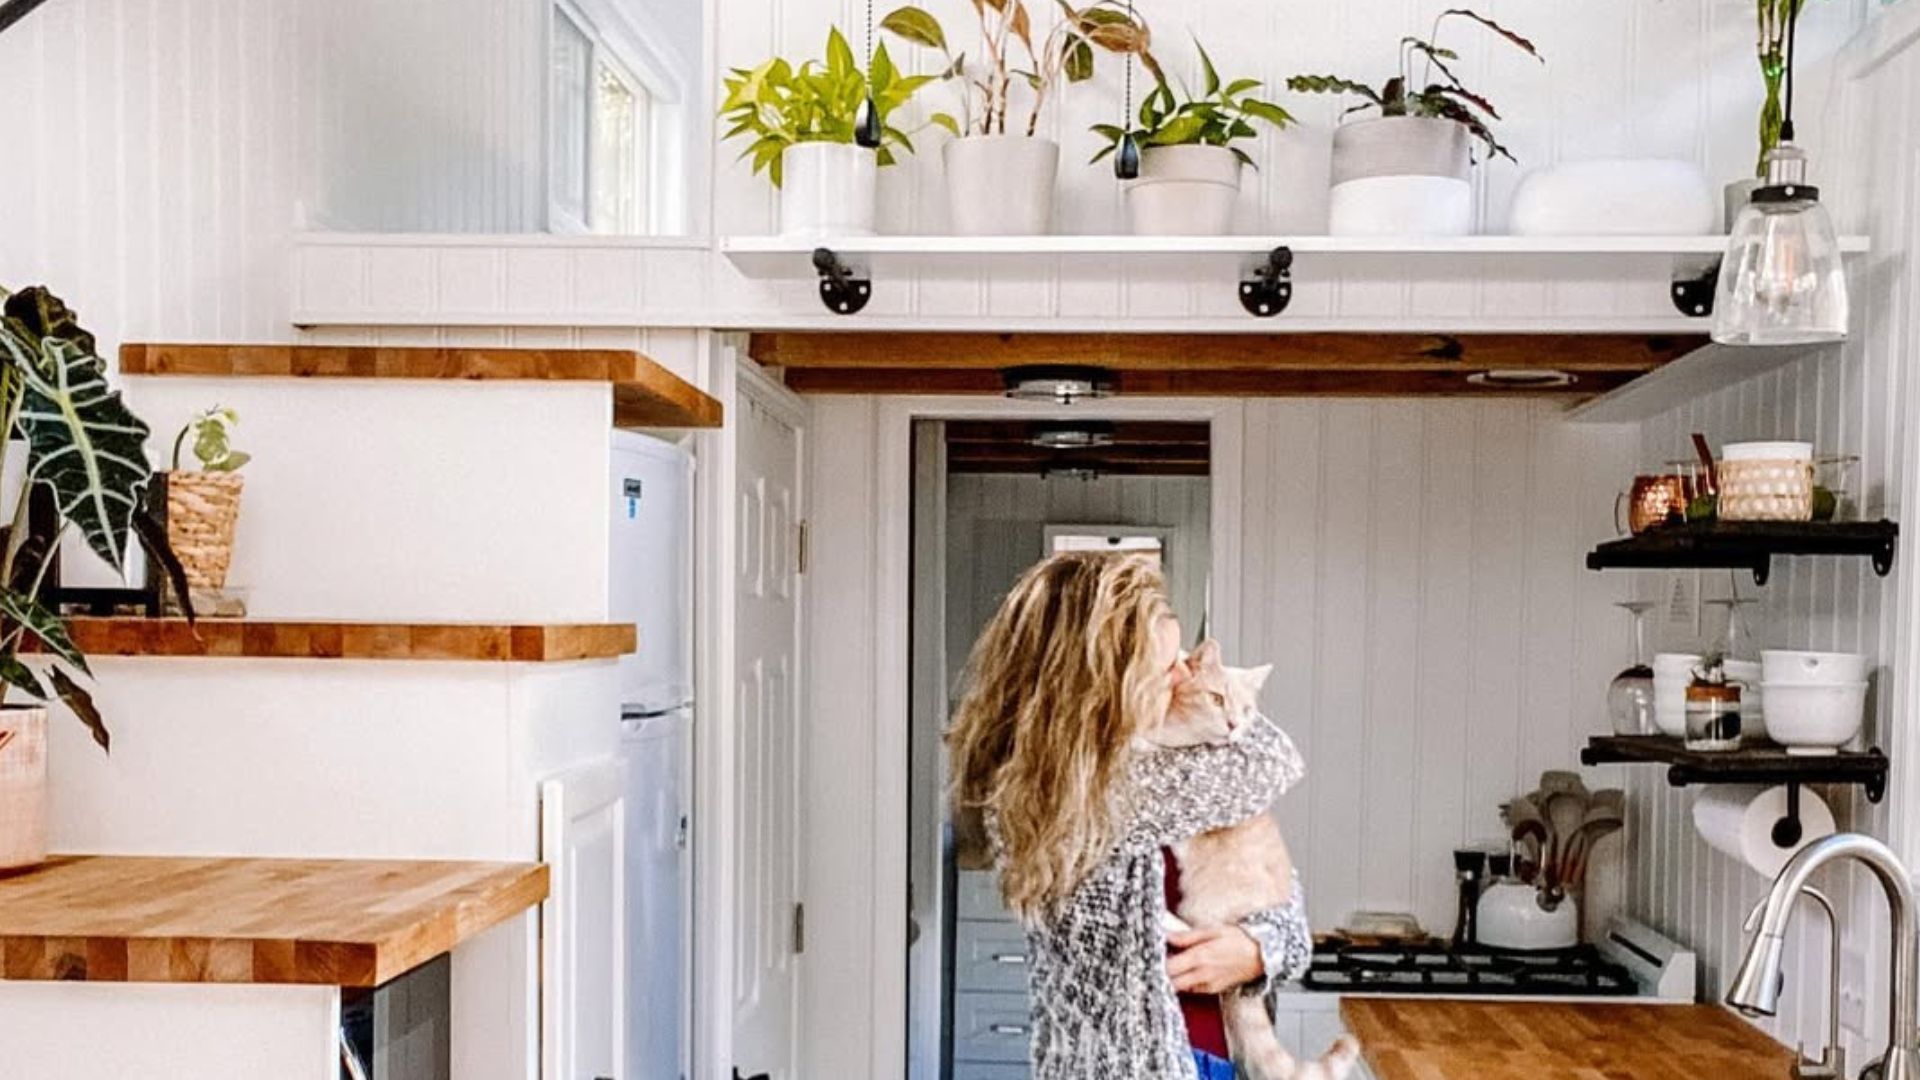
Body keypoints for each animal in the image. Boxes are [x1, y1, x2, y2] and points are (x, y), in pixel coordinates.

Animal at [1136, 638, 1367, 1076]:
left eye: (1246, 710)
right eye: (1216, 698)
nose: (1233, 726)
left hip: (1207, 905)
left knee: (1190, 931)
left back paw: (1164, 918)